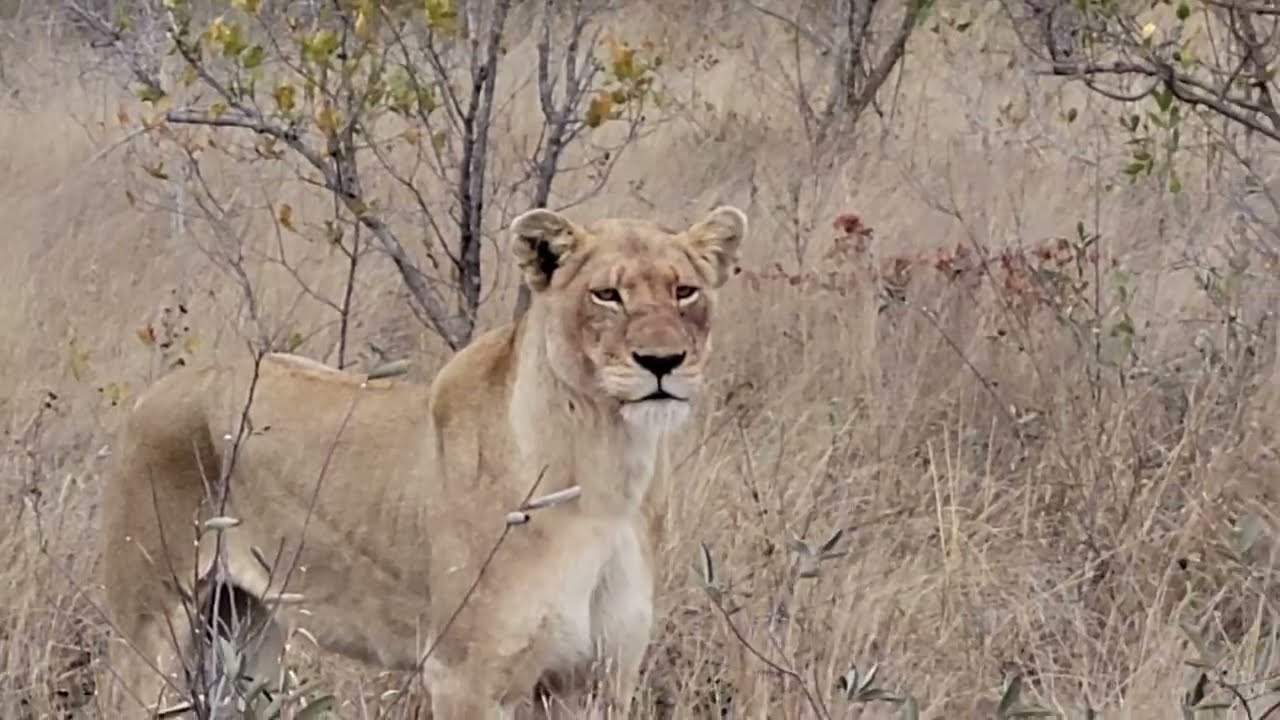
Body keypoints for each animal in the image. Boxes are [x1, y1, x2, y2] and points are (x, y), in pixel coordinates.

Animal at [98, 204, 748, 718]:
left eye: (684, 291)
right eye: (607, 295)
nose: (662, 362)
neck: (609, 466)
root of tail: (153, 394)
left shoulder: (599, 678)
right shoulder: (464, 676)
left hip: (246, 631)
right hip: (151, 629)